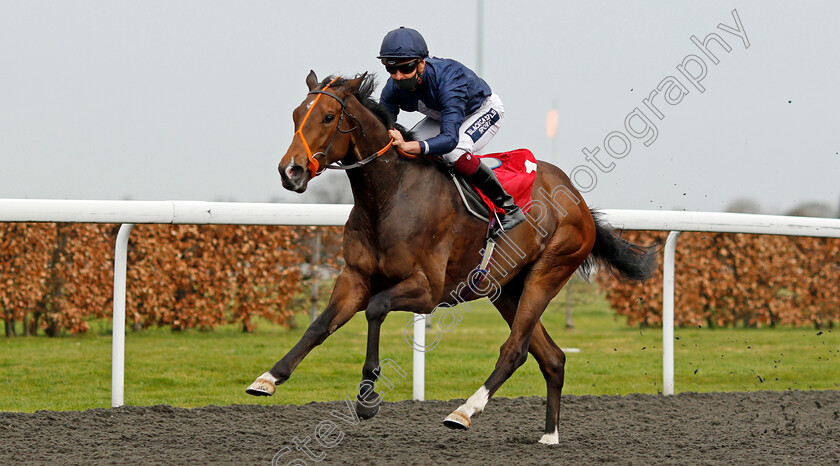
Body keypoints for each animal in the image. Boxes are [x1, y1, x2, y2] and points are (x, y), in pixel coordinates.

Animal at [246, 71, 652, 442]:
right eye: (296, 115)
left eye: (329, 117)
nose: (290, 170)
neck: (389, 196)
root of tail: (577, 199)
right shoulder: (354, 277)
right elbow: (319, 326)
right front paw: (269, 377)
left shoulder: (428, 289)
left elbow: (377, 308)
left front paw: (367, 396)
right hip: (505, 289)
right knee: (551, 357)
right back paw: (549, 436)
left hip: (548, 272)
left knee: (515, 350)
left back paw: (464, 411)